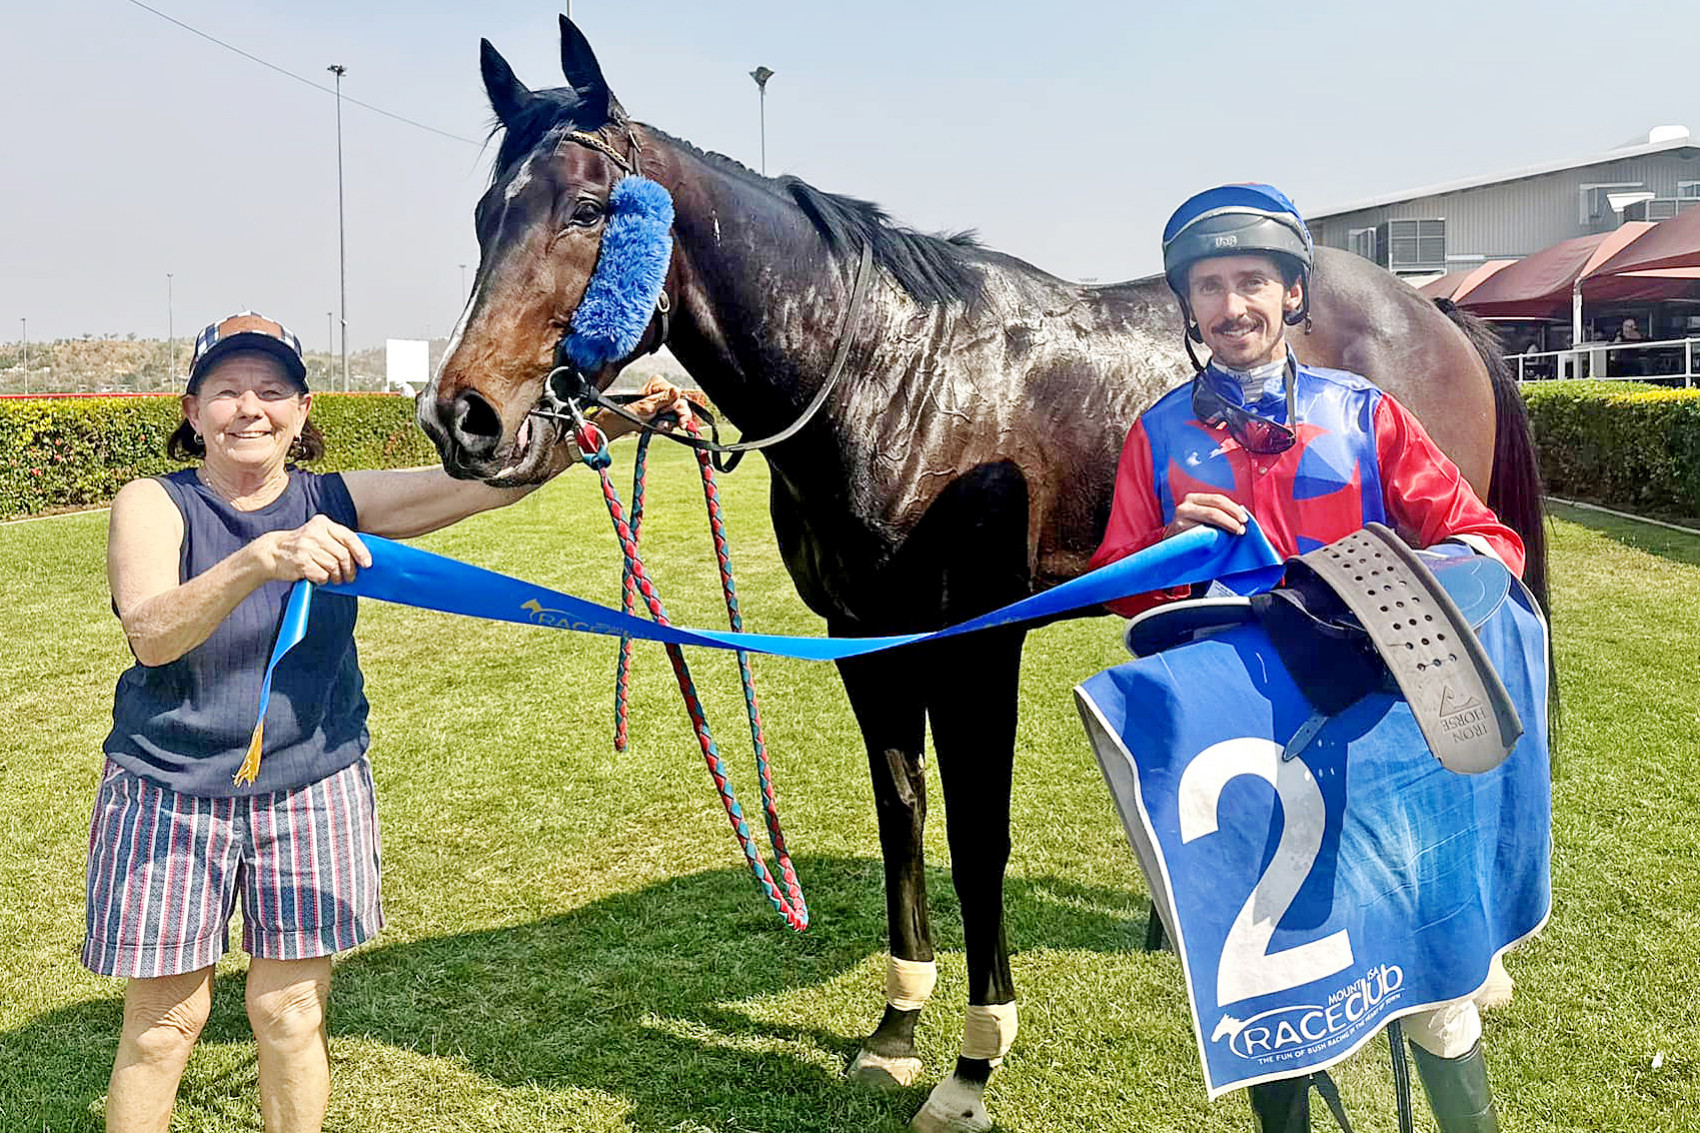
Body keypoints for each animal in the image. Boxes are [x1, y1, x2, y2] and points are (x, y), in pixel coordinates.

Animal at [418, 19, 1550, 1129]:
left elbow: (975, 832)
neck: (890, 379)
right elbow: (902, 811)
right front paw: (893, 1027)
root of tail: (1434, 314)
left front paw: (975, 1053)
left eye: (587, 206)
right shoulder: (861, 640)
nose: (460, 418)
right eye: (481, 215)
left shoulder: (974, 648)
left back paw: (1478, 967)